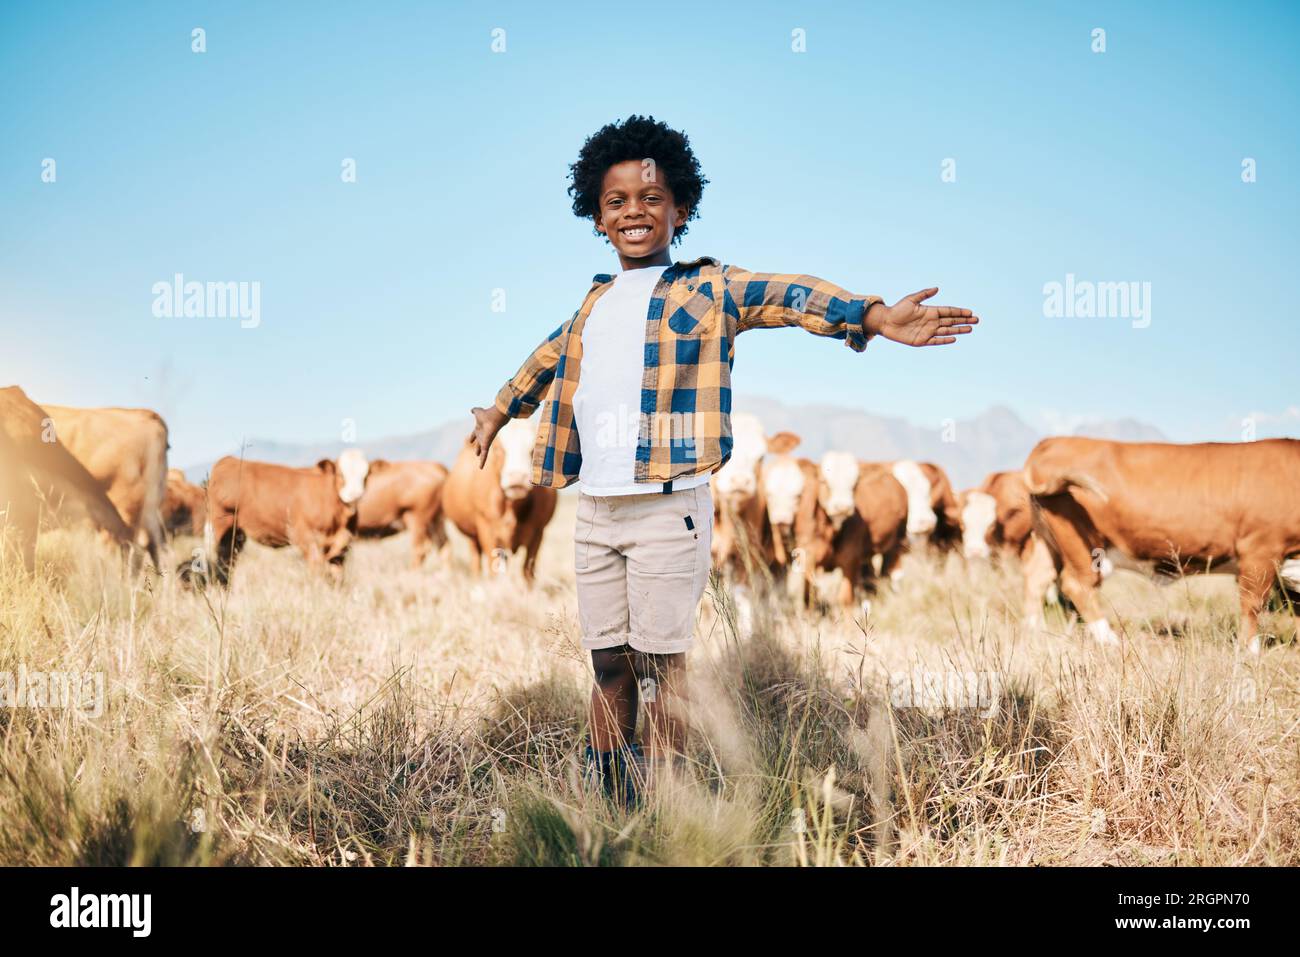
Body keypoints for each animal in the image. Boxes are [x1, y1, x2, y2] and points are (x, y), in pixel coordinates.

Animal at [202, 447, 374, 582]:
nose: (354, 494)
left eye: (365, 476)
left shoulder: (342, 545)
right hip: (223, 526)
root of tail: (228, 460)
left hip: (238, 533)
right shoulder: (304, 536)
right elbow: (317, 570)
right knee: (223, 561)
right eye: (340, 474)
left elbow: (338, 576)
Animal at [441, 418, 553, 582]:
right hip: (473, 536)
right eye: (499, 449)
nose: (517, 477)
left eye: (534, 450)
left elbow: (528, 571)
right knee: (476, 562)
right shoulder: (487, 530)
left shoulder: (538, 532)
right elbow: (494, 570)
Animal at [1024, 434, 1300, 650]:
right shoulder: (1260, 549)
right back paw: (1109, 641)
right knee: (1078, 585)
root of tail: (1052, 442)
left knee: (1037, 579)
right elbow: (1253, 604)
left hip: (1048, 539)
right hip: (1082, 543)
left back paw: (1034, 632)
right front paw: (1249, 651)